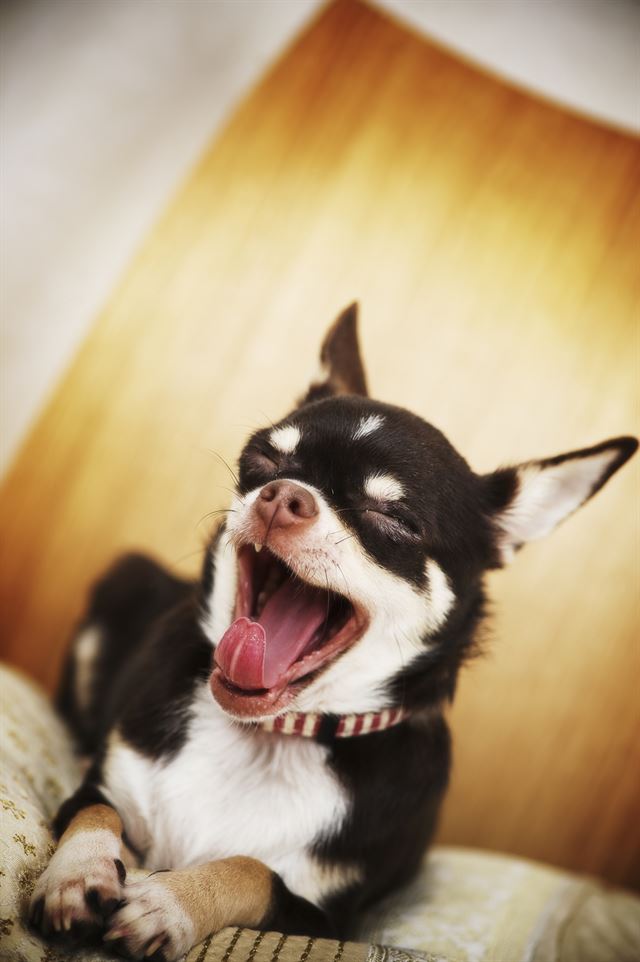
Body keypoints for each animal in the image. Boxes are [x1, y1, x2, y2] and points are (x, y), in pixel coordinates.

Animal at [28, 304, 636, 956]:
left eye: (392, 517)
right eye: (263, 461)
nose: (283, 495)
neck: (272, 735)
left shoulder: (327, 920)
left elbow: (250, 870)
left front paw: (170, 900)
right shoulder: (98, 788)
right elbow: (96, 813)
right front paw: (77, 875)